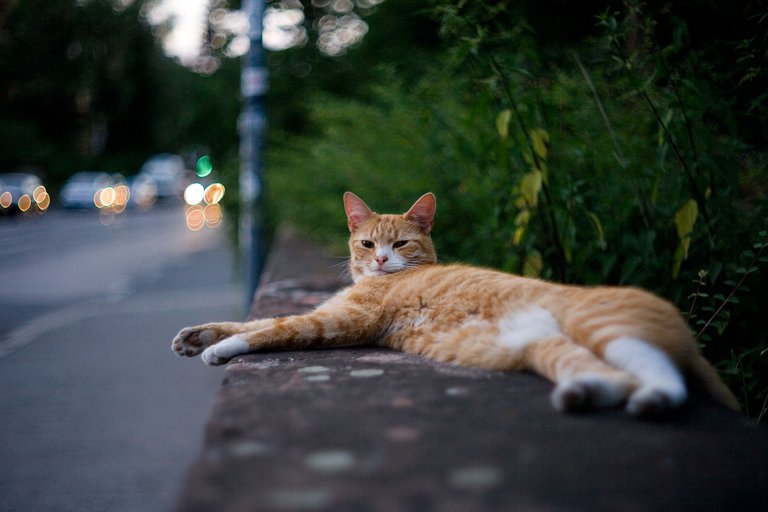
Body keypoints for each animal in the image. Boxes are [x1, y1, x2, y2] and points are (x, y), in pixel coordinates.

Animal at [172, 192, 736, 416]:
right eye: (366, 243)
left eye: (400, 244)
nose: (380, 260)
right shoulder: (326, 311)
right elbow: (256, 317)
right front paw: (196, 336)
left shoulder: (342, 322)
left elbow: (272, 328)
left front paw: (219, 350)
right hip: (546, 348)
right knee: (614, 379)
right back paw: (583, 395)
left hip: (600, 325)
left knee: (664, 374)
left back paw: (653, 400)